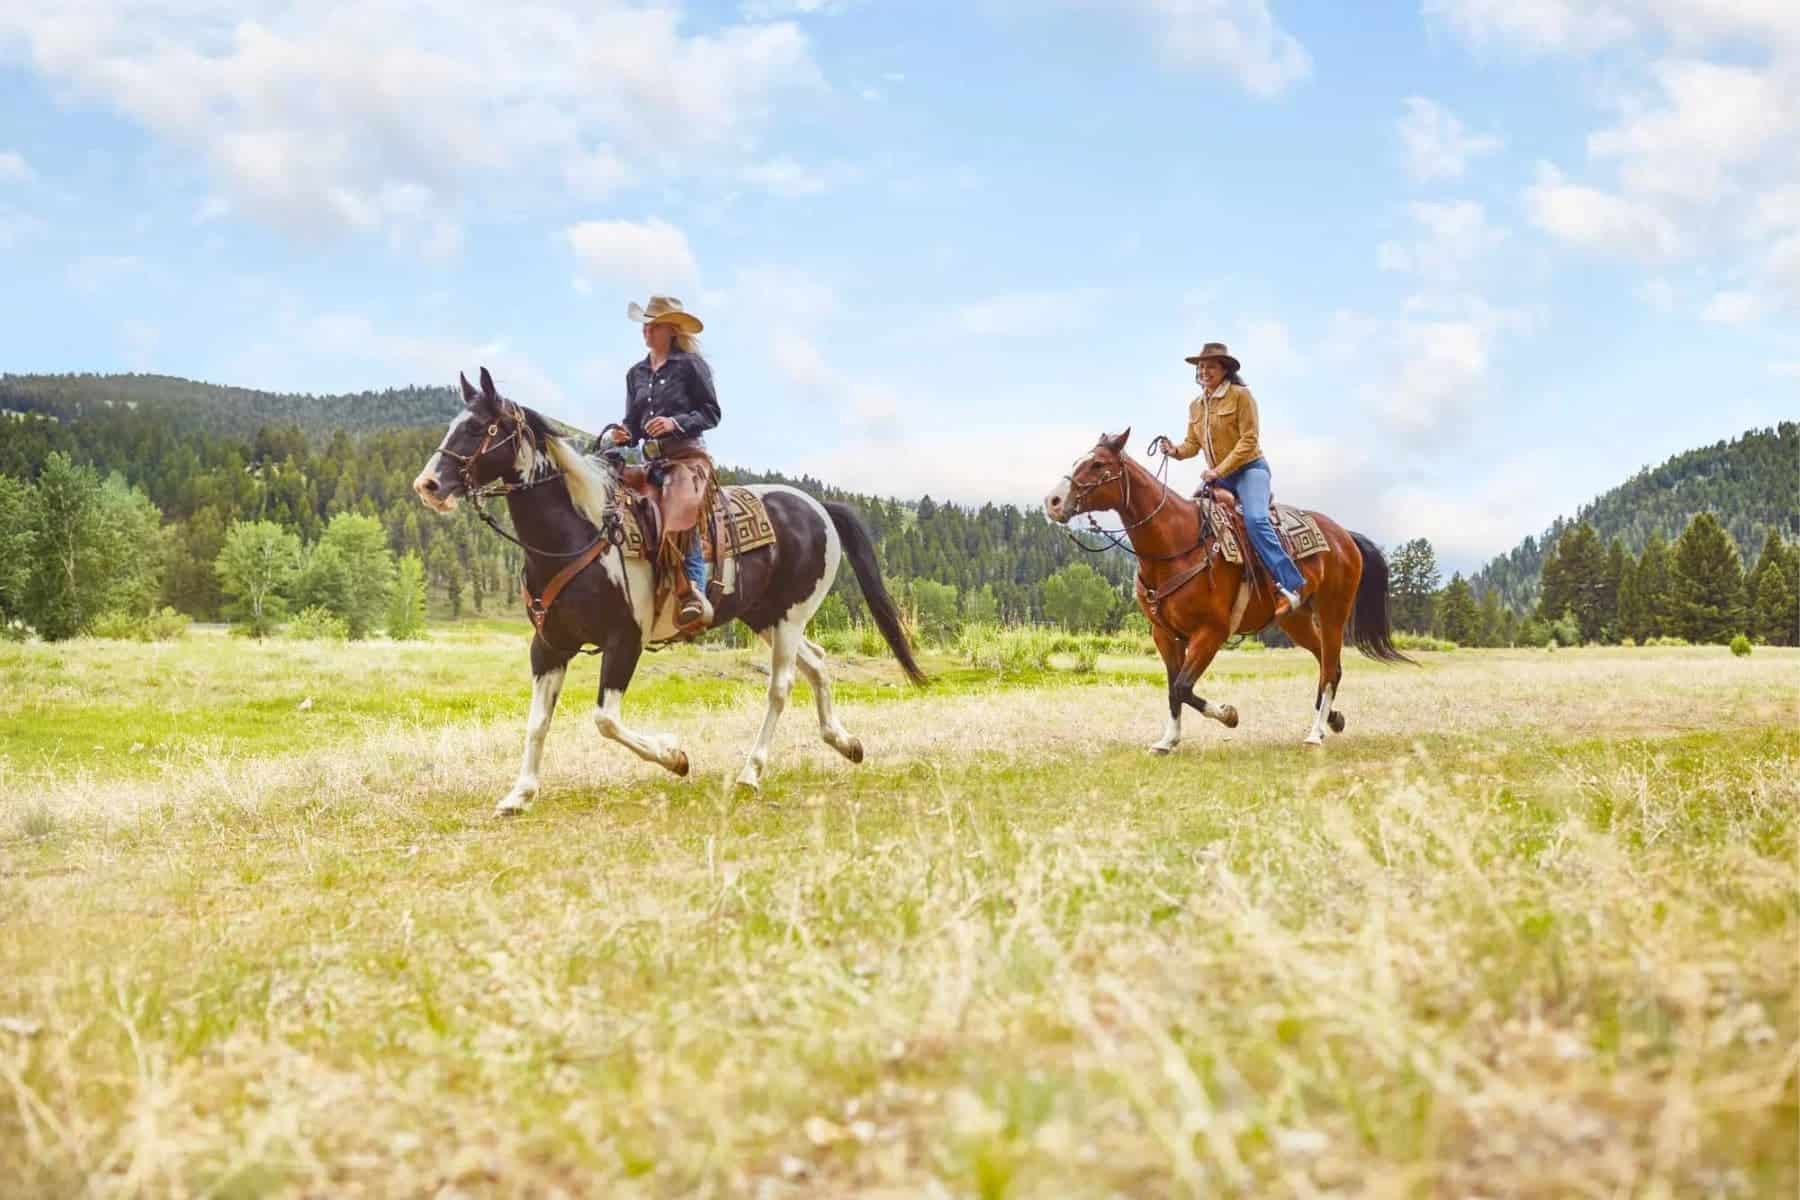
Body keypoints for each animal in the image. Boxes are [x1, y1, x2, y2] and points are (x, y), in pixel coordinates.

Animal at [412, 368, 926, 810]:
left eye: (481, 428)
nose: (428, 484)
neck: (579, 533)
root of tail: (817, 506)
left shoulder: (625, 641)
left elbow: (606, 720)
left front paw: (674, 756)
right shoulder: (549, 646)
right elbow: (537, 722)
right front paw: (519, 794)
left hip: (792, 615)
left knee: (780, 687)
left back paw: (751, 772)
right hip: (766, 615)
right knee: (817, 663)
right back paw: (846, 743)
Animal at [1043, 429, 1410, 753]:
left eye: (1098, 465)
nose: (1053, 501)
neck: (1178, 544)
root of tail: (1344, 535)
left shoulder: (1212, 631)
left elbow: (1183, 686)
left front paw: (1228, 715)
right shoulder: (1164, 634)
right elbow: (1173, 690)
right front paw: (1168, 741)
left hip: (1333, 612)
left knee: (1330, 668)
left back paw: (1315, 734)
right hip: (1296, 621)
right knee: (1327, 664)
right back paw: (1331, 720)